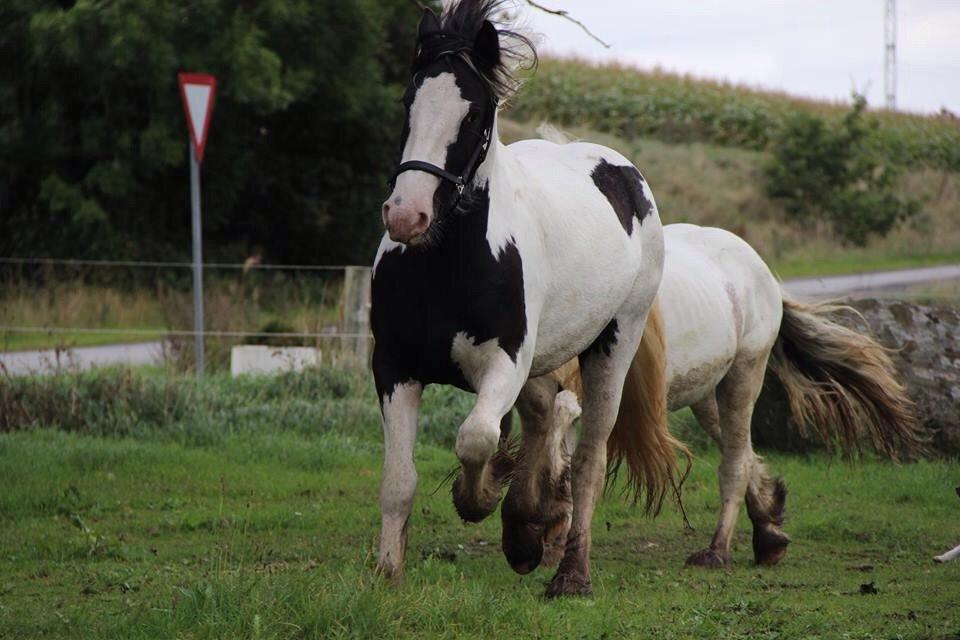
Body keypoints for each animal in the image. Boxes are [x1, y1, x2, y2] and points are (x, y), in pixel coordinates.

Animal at [368, 2, 676, 596]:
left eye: (473, 116)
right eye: (407, 103)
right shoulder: (394, 367)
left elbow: (476, 439)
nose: (406, 215)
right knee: (544, 415)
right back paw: (528, 528)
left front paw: (479, 497)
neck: (447, 265)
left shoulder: (503, 364)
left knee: (587, 457)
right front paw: (387, 571)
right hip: (545, 359)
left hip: (614, 344)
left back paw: (569, 571)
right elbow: (399, 478)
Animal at [502, 222, 928, 572]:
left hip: (744, 375)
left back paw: (717, 551)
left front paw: (546, 529)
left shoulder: (580, 391)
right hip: (707, 395)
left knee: (735, 462)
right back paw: (769, 533)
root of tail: (759, 267)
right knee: (743, 452)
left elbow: (566, 455)